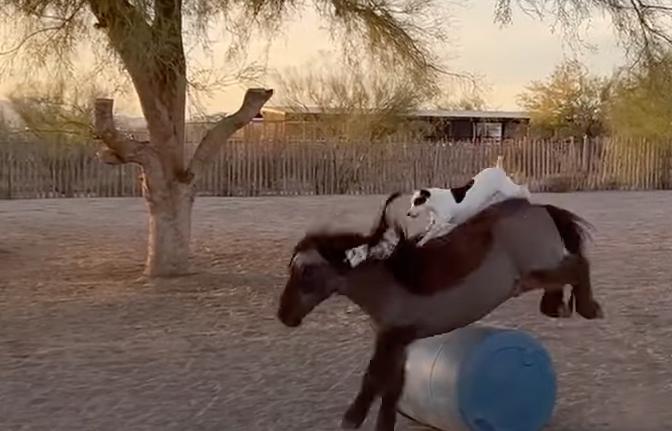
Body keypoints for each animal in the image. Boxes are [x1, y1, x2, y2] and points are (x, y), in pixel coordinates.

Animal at [277, 195, 604, 431]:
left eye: (306, 272)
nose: (284, 315)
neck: (391, 281)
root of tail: (539, 208)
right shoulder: (401, 342)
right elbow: (391, 391)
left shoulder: (392, 337)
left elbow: (373, 379)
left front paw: (351, 418)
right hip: (535, 275)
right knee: (564, 278)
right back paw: (560, 306)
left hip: (536, 270)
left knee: (578, 265)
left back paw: (589, 308)